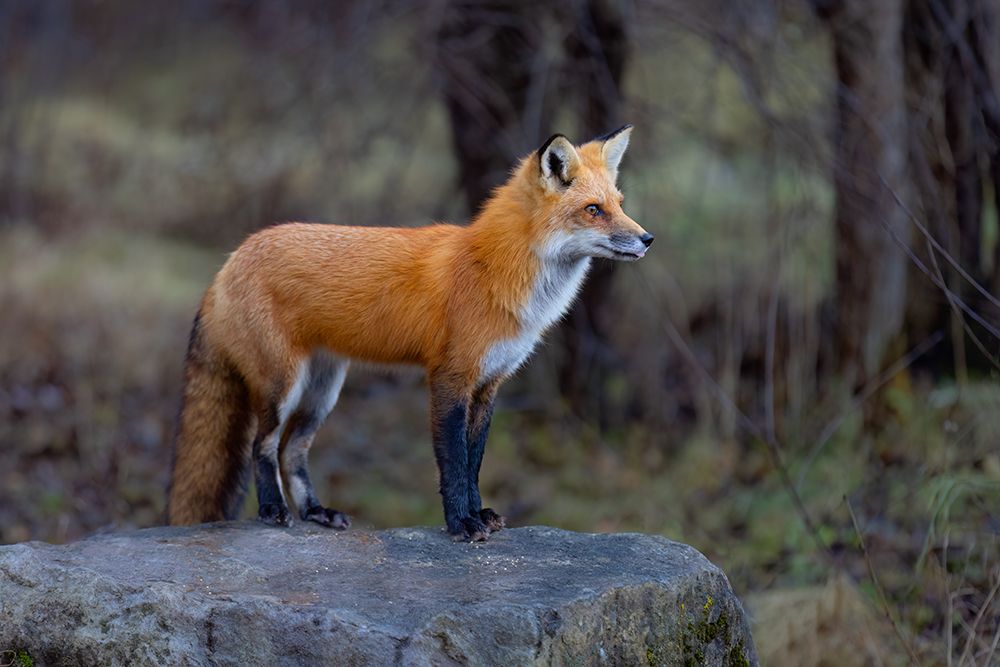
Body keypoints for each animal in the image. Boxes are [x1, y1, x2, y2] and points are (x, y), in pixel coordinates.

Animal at [166, 125, 652, 541]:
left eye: (620, 203)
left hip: (322, 392)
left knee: (292, 452)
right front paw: (461, 523)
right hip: (281, 385)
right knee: (261, 446)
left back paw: (316, 512)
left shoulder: (488, 384)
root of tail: (230, 259)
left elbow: (474, 461)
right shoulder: (449, 378)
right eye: (593, 210)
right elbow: (452, 462)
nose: (647, 239)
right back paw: (273, 510)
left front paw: (480, 514)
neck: (493, 271)